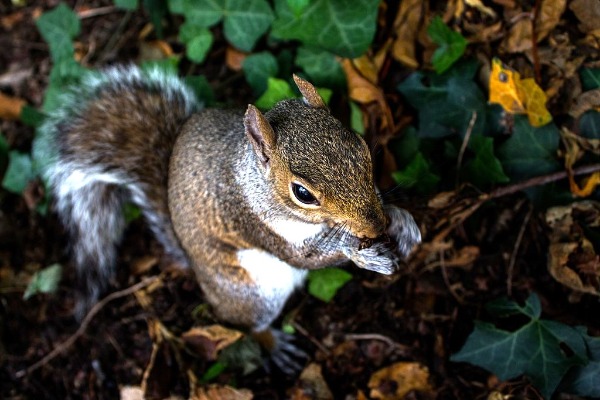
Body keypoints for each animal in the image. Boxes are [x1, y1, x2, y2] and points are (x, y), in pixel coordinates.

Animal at [41, 65, 422, 368]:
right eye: (302, 194)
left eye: (361, 146)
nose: (375, 226)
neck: (255, 180)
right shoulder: (251, 221)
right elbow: (306, 258)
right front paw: (363, 255)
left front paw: (401, 222)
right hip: (250, 296)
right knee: (247, 326)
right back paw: (273, 345)